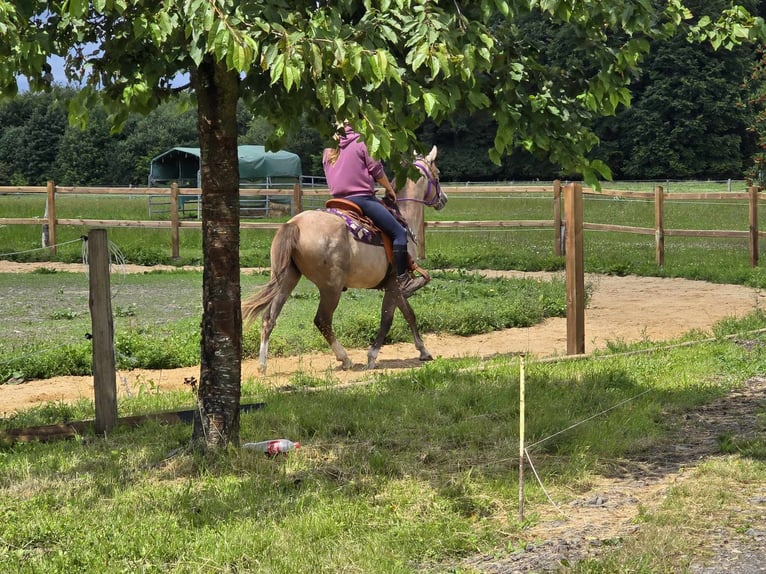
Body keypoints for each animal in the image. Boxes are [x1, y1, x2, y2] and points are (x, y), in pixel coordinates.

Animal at [244, 146, 450, 376]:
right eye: (437, 174)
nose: (444, 199)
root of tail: (295, 224)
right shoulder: (394, 283)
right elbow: (388, 318)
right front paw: (372, 356)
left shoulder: (393, 286)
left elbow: (408, 314)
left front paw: (423, 350)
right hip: (330, 288)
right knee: (322, 320)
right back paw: (345, 359)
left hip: (287, 278)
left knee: (269, 318)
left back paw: (262, 365)